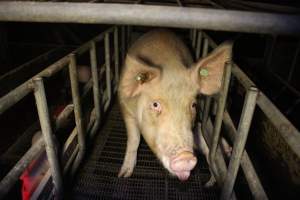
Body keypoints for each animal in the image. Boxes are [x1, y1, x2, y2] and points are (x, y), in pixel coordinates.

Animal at [118, 29, 232, 181]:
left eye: (193, 105)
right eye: (155, 104)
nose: (186, 157)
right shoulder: (125, 107)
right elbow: (134, 139)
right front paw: (123, 175)